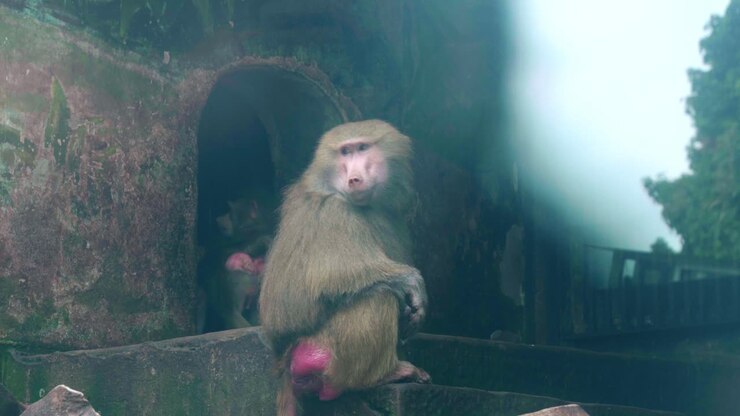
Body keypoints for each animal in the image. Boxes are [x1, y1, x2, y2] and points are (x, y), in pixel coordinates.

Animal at [259, 120, 430, 415]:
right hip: (325, 351)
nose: (354, 179)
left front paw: (412, 314)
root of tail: (284, 366)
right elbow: (330, 278)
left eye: (362, 148)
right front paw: (411, 282)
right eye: (345, 152)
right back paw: (384, 374)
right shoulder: (334, 214)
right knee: (378, 295)